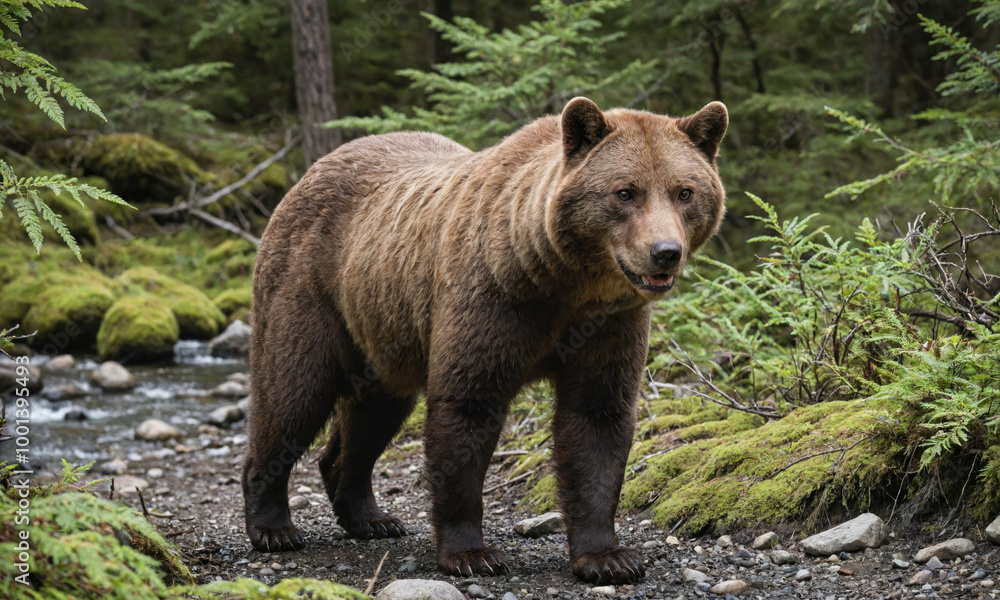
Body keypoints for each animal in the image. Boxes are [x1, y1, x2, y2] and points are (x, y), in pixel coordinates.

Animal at [242, 97, 728, 584]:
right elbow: (467, 407)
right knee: (291, 393)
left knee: (373, 414)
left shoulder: (609, 324)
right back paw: (273, 526)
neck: (565, 282)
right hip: (309, 291)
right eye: (625, 192)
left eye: (684, 192)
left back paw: (371, 517)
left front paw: (607, 557)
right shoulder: (494, 302)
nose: (665, 252)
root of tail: (312, 170)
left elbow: (597, 418)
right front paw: (471, 554)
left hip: (383, 332)